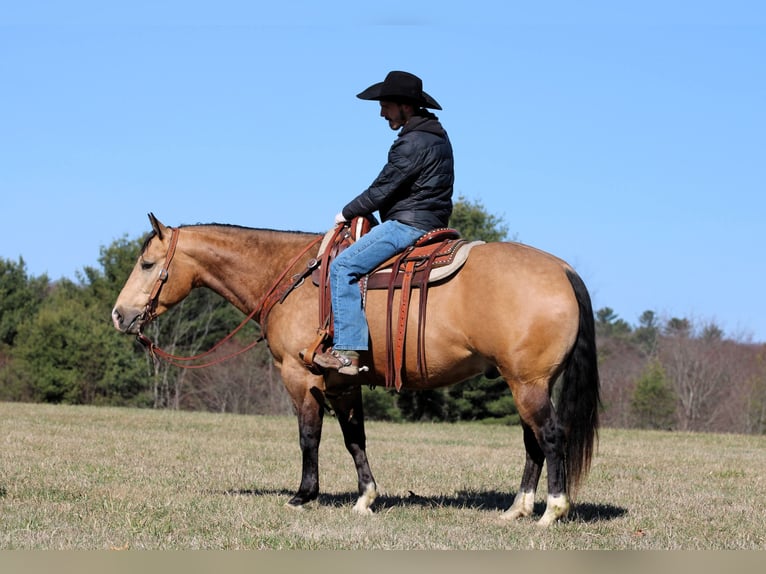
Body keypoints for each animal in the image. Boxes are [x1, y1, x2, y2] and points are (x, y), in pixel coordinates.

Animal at [111, 213, 600, 527]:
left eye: (147, 264)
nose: (120, 315)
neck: (293, 278)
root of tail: (563, 270)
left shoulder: (300, 377)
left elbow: (309, 436)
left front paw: (303, 495)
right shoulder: (342, 383)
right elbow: (354, 439)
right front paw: (366, 498)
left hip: (528, 384)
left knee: (550, 437)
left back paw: (552, 512)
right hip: (525, 383)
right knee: (533, 443)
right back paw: (517, 509)